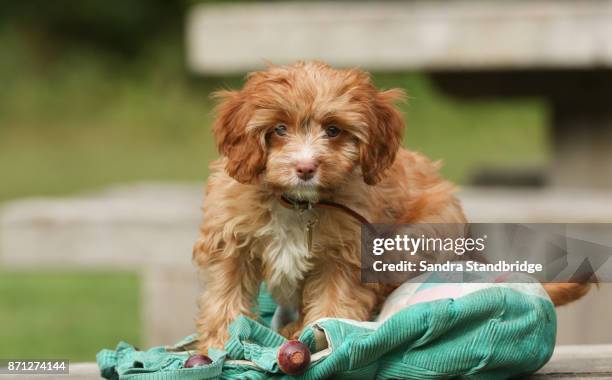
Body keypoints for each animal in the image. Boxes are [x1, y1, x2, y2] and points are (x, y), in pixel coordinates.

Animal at [194, 60, 592, 352]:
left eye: (334, 130)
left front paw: (319, 336)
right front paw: (218, 344)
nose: (305, 168)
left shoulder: (347, 256)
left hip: (421, 234)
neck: (298, 204)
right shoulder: (231, 241)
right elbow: (225, 297)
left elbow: (334, 304)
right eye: (278, 129)